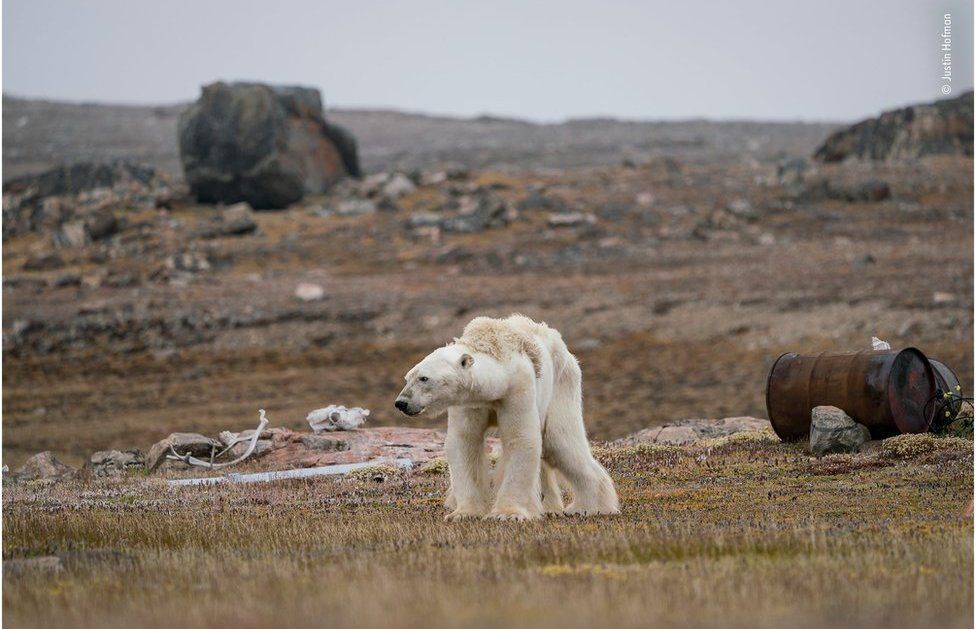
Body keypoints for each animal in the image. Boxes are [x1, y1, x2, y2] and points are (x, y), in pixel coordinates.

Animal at [390, 314, 612, 520]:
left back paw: (588, 507)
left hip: (562, 384)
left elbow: (520, 438)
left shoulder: (517, 388)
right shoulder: (470, 402)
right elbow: (464, 442)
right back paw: (550, 507)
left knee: (560, 441)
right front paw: (464, 513)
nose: (401, 403)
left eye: (424, 378)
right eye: (407, 377)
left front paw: (506, 514)